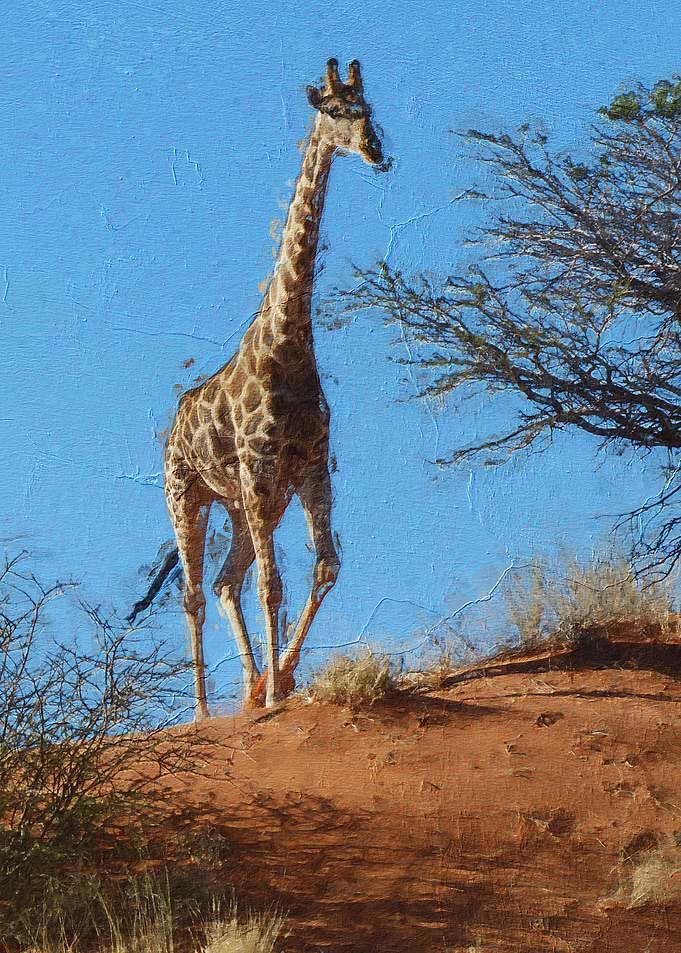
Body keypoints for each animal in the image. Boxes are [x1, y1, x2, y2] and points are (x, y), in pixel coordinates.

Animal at [141, 58, 387, 718]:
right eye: (335, 112)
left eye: (369, 111)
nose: (377, 153)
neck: (289, 345)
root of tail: (171, 427)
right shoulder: (258, 464)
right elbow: (272, 585)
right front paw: (276, 693)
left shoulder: (308, 467)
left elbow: (325, 567)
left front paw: (281, 678)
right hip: (188, 494)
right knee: (196, 593)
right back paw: (204, 711)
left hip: (248, 503)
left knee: (226, 581)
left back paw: (251, 685)